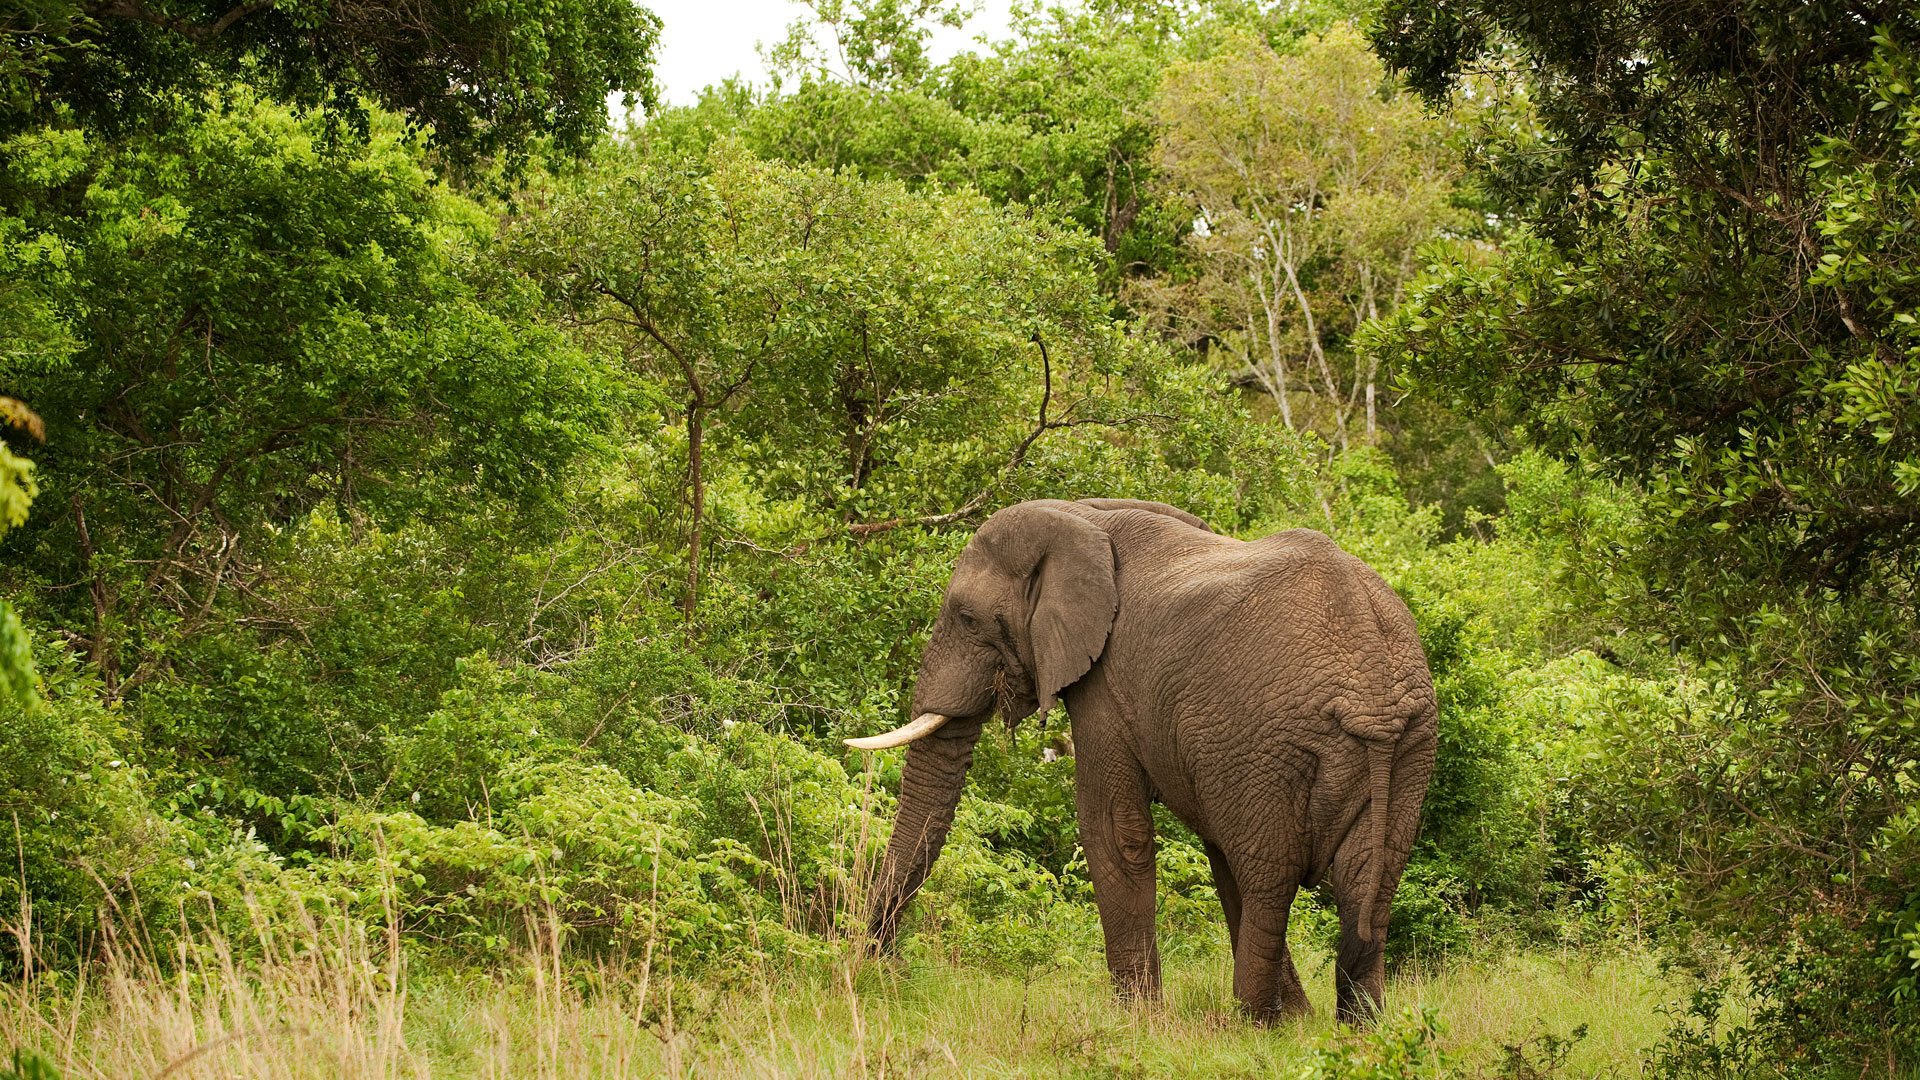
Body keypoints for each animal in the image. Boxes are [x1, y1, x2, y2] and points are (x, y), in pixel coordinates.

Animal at [846, 498, 1437, 1024]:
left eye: (967, 619)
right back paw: (1355, 1027)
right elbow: (1210, 848)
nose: (883, 964)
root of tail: (1372, 679)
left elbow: (1112, 828)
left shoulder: (1104, 683)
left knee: (1269, 876)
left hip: (1270, 743)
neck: (1081, 515)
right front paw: (1293, 1018)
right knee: (1366, 880)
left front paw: (1135, 1020)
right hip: (1405, 747)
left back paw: (1249, 1023)